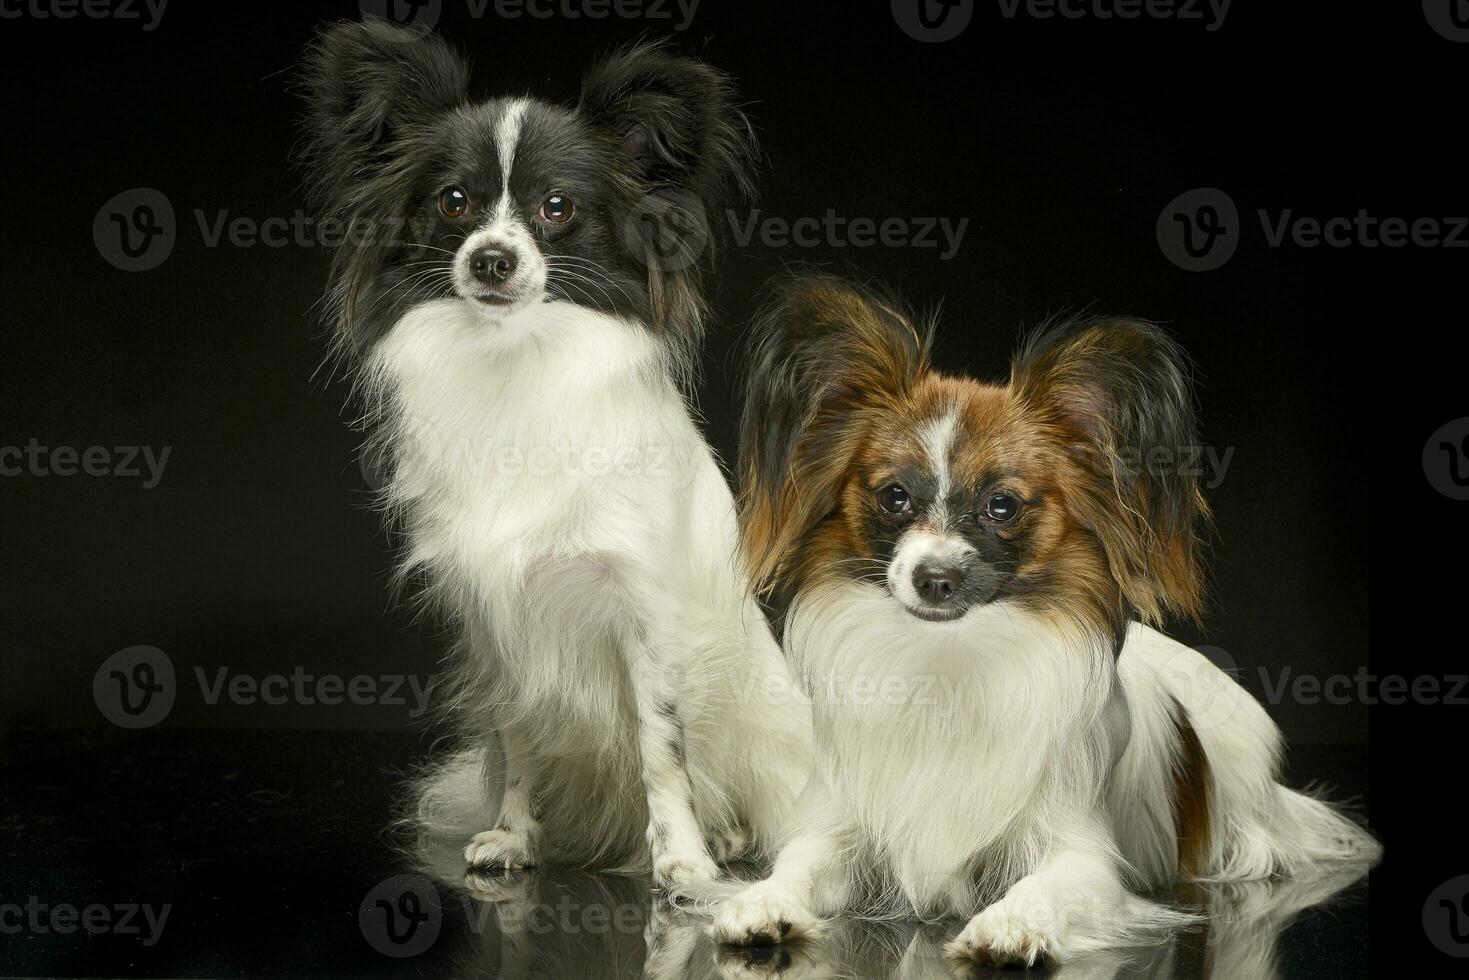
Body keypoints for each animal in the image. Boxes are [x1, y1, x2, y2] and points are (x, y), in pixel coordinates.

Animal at [292, 17, 810, 887]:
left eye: (556, 207)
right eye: (454, 202)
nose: (491, 260)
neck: (514, 360)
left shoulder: (644, 617)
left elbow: (661, 748)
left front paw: (682, 861)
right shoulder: (498, 626)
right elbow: (517, 739)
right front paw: (515, 837)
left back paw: (726, 839)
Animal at [705, 274, 1380, 963]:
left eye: (1002, 506)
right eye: (895, 497)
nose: (934, 578)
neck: (950, 658)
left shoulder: (1083, 856)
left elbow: (1045, 886)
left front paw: (1010, 924)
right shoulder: (839, 828)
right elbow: (797, 865)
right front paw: (760, 901)